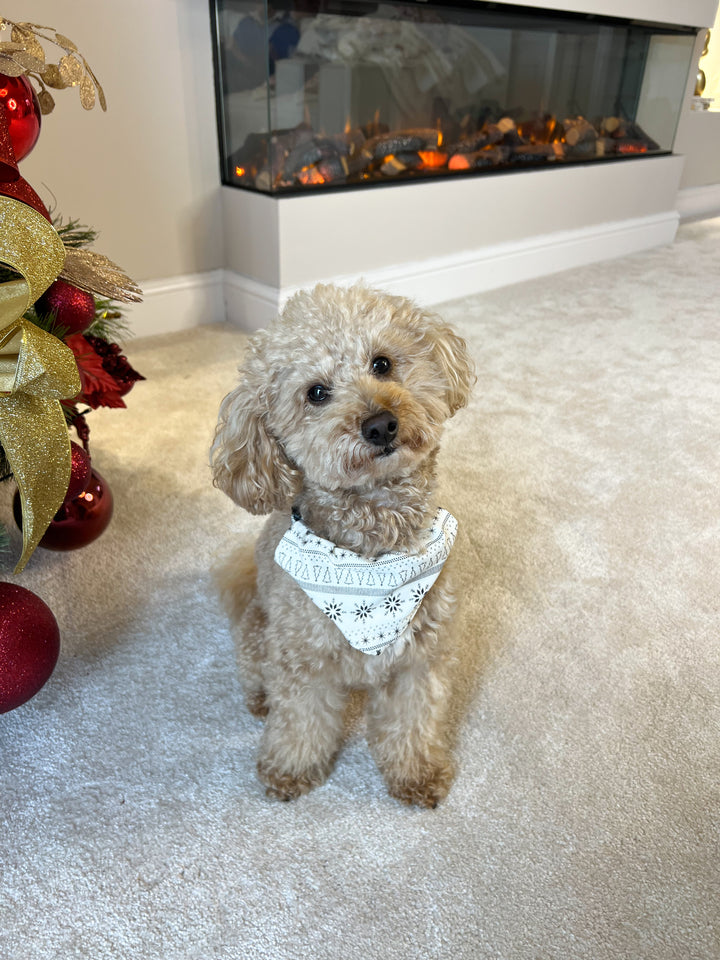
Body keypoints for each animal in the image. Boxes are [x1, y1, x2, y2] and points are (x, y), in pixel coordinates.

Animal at [211, 284, 476, 804]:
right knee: (255, 671)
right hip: (258, 630)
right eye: (316, 393)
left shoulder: (418, 659)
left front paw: (416, 773)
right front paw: (290, 769)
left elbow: (413, 720)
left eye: (382, 364)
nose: (380, 424)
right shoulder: (302, 662)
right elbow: (300, 722)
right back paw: (259, 699)